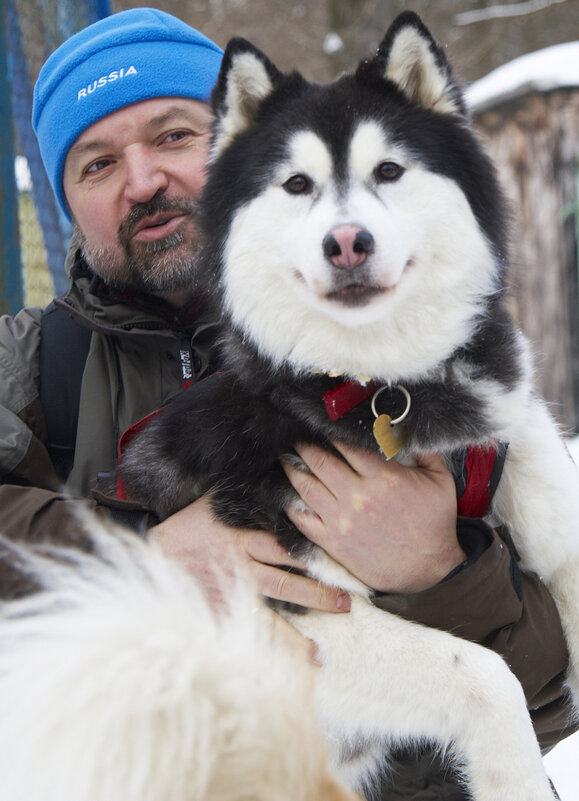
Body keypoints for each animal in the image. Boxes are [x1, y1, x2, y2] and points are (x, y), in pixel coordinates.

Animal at [120, 12, 576, 800]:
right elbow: (489, 674)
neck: (383, 386)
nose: (346, 242)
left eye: (388, 170)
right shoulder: (288, 618)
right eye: (297, 183)